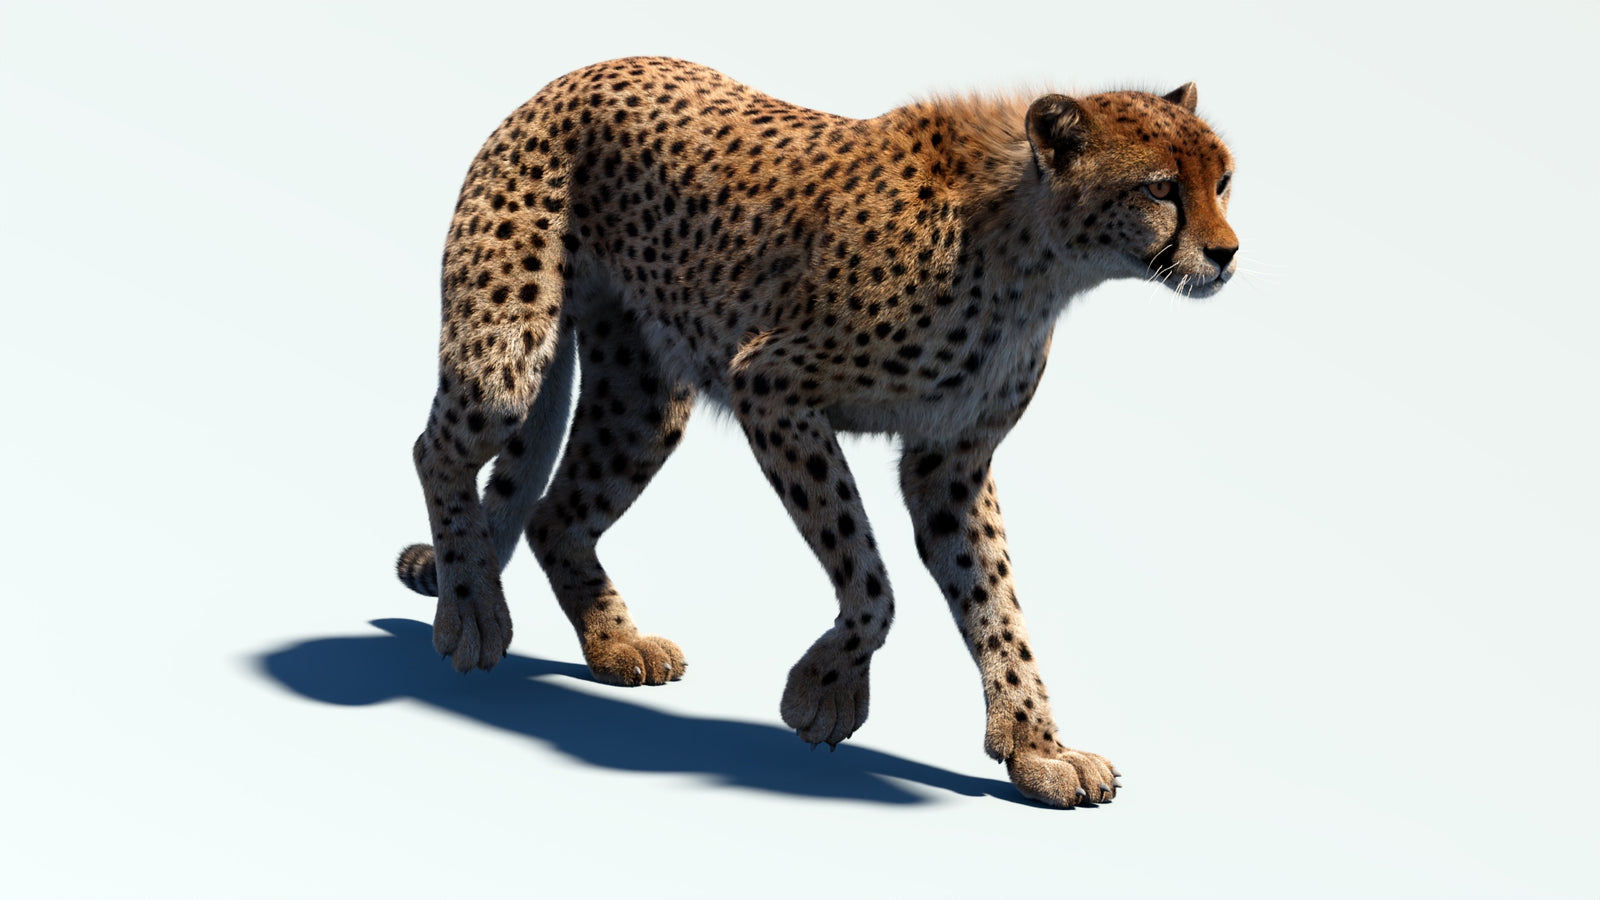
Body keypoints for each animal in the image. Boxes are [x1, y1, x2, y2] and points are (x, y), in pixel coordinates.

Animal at [394, 56, 1238, 808]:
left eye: (1223, 181)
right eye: (1160, 188)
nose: (1227, 253)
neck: (1036, 255)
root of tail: (580, 73)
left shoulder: (950, 461)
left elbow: (997, 603)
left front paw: (1037, 747)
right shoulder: (770, 386)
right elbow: (870, 576)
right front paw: (825, 691)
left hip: (644, 397)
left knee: (554, 515)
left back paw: (614, 643)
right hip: (507, 361)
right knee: (436, 450)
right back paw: (470, 611)